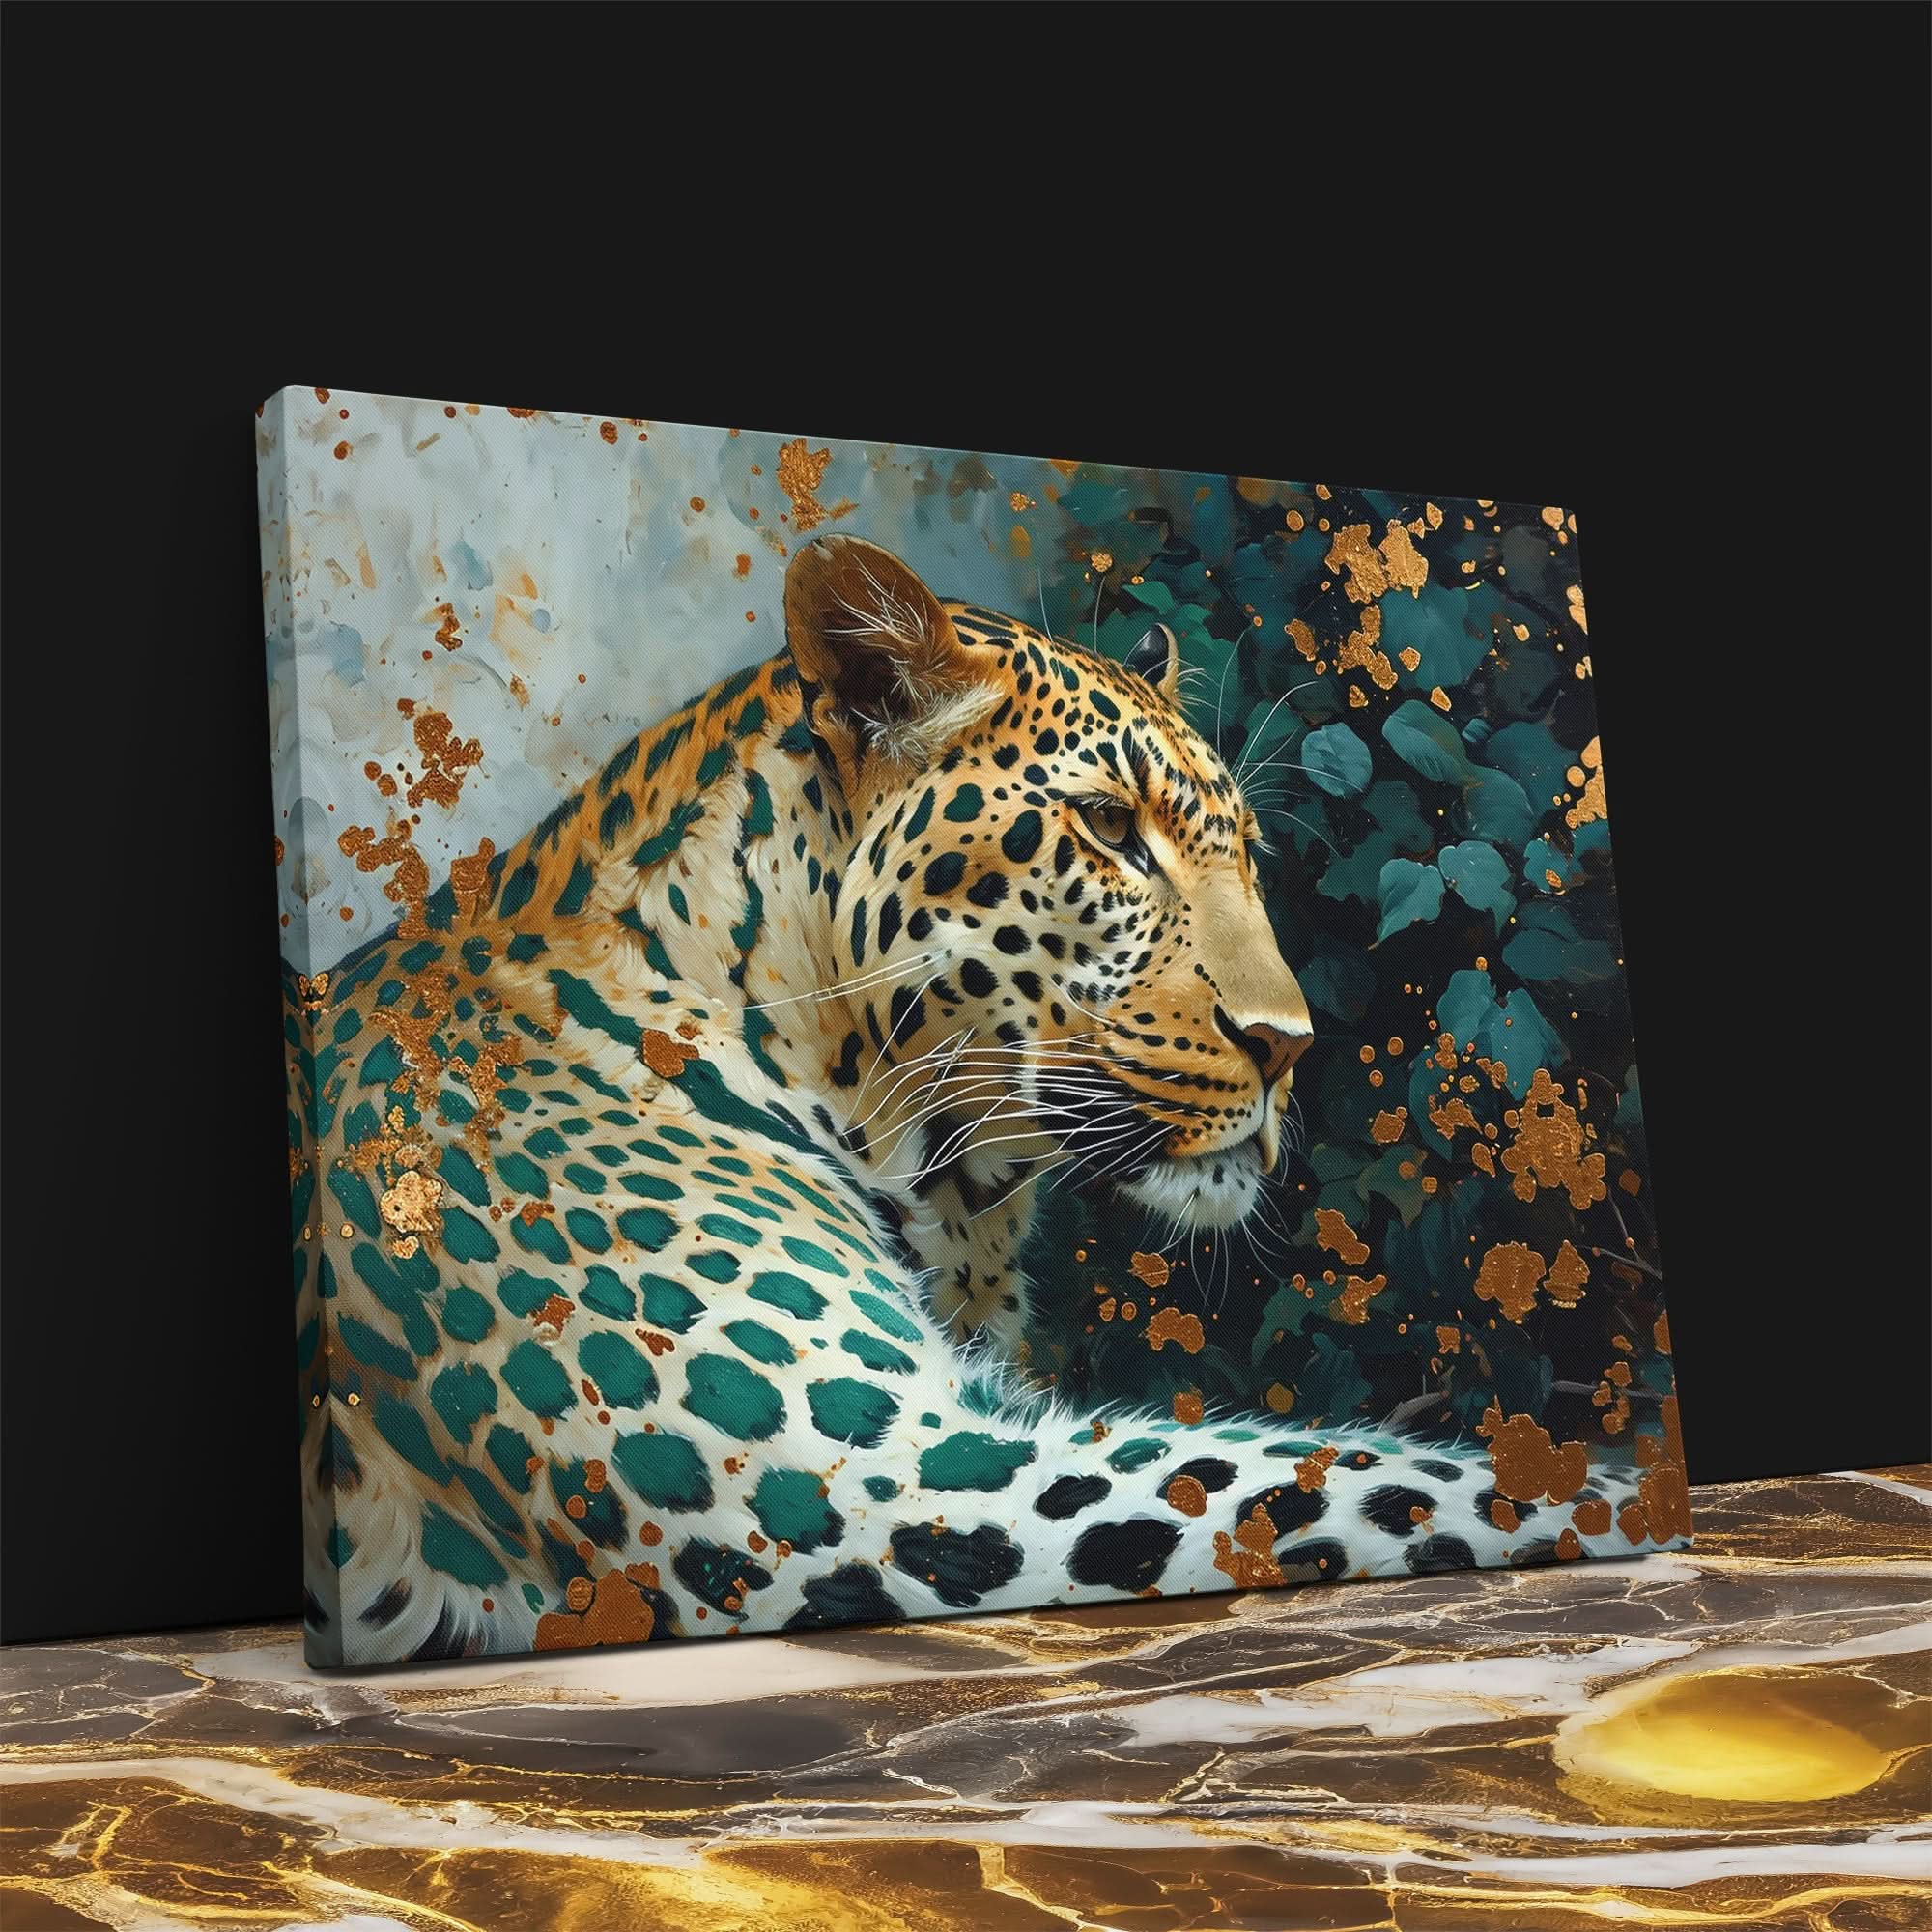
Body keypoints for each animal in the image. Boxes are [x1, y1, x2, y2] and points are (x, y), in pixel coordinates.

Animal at [285, 534, 1682, 1665]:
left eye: (1246, 851)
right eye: (1111, 828)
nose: (1286, 1044)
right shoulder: (889, 1484)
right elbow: (1396, 1491)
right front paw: (1616, 1506)